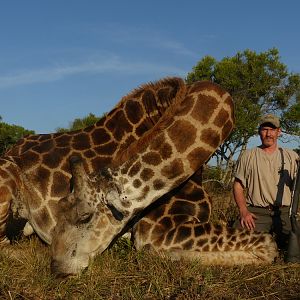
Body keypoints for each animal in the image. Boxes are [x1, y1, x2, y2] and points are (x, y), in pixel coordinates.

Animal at [49, 80, 276, 276]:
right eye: (59, 209)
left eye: (86, 216)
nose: (58, 269)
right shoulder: (155, 230)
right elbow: (268, 244)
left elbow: (269, 244)